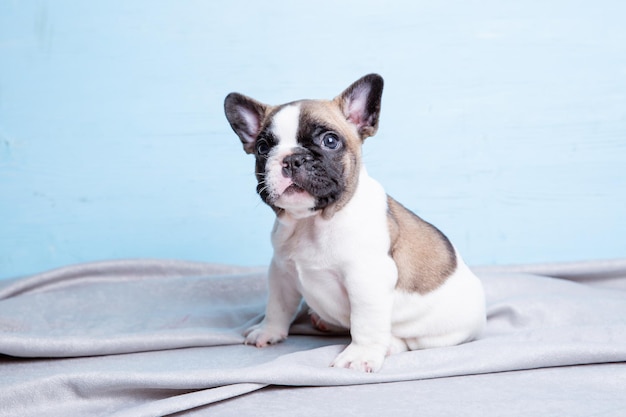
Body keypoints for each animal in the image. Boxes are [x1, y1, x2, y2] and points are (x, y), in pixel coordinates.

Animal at [222, 74, 486, 370]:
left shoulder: (366, 279)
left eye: (330, 140)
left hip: (440, 333)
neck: (311, 223)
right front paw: (268, 331)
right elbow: (277, 306)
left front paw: (360, 355)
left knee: (410, 342)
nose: (292, 158)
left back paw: (388, 345)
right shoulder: (280, 273)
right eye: (262, 147)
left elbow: (365, 322)